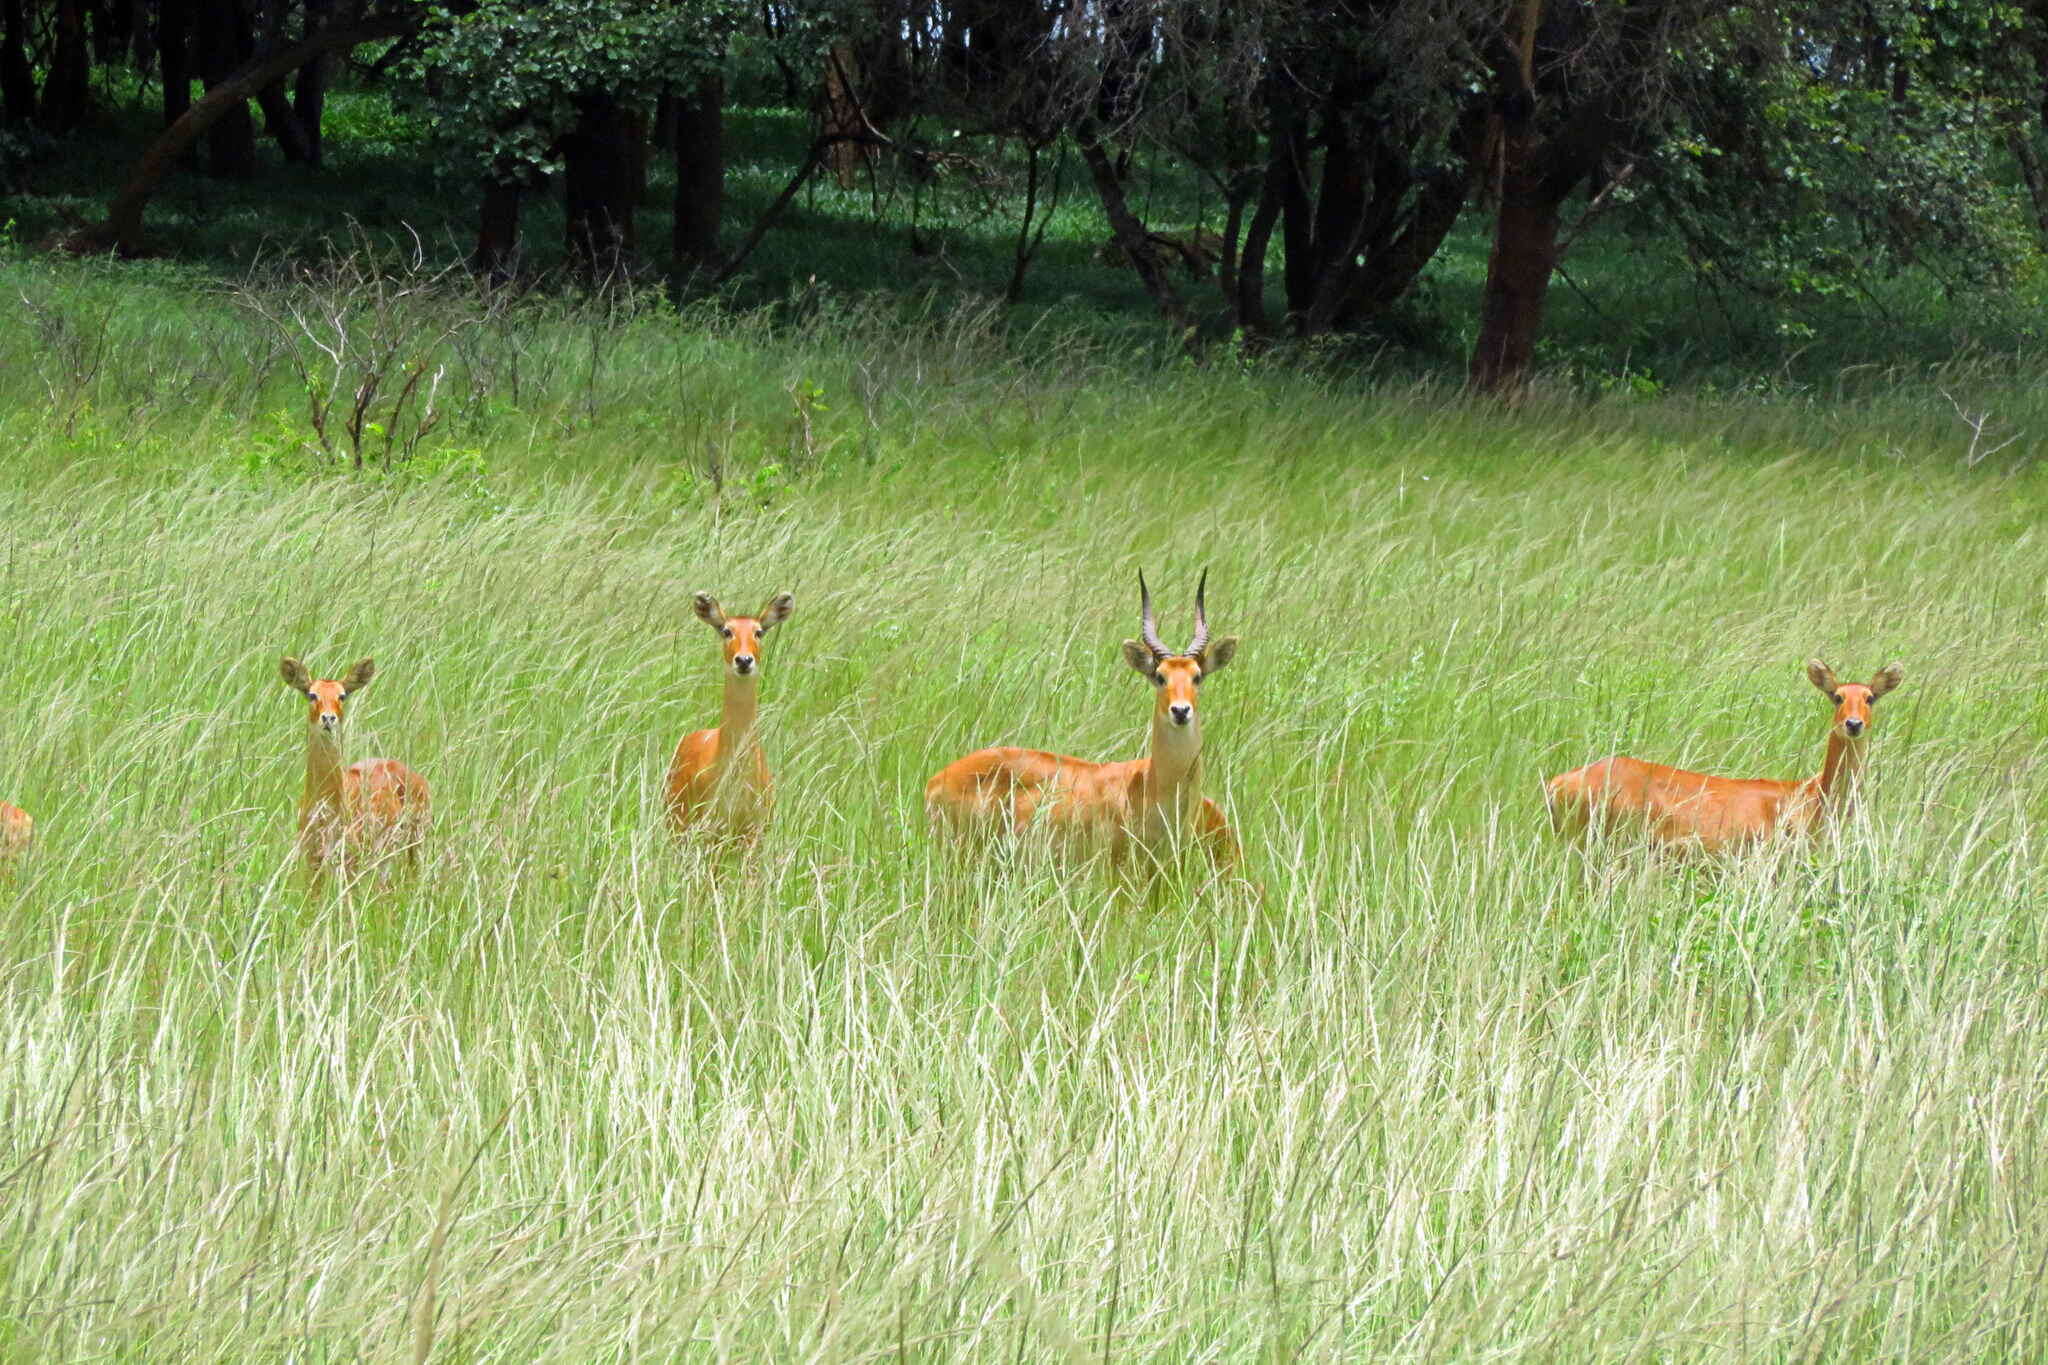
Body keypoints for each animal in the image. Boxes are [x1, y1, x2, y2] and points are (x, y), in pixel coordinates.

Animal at [278, 654, 430, 888]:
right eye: (312, 694)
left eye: (342, 695)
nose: (328, 718)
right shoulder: (312, 857)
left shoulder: (350, 859)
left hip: (416, 839)